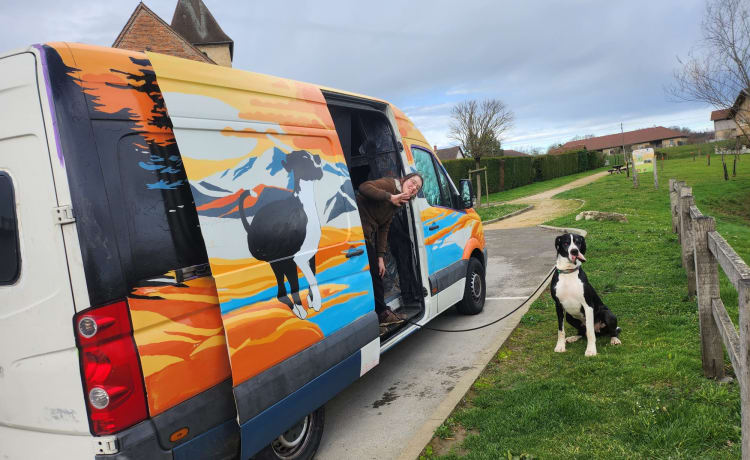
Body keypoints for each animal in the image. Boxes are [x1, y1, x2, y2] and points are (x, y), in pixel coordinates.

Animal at [239, 151, 324, 320]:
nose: (318, 157)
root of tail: (251, 226)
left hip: (277, 262)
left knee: (281, 289)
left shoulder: (310, 255)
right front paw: (307, 306)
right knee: (282, 292)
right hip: (277, 261)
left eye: (313, 155)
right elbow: (299, 284)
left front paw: (312, 301)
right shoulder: (293, 259)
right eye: (305, 158)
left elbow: (312, 277)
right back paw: (296, 309)